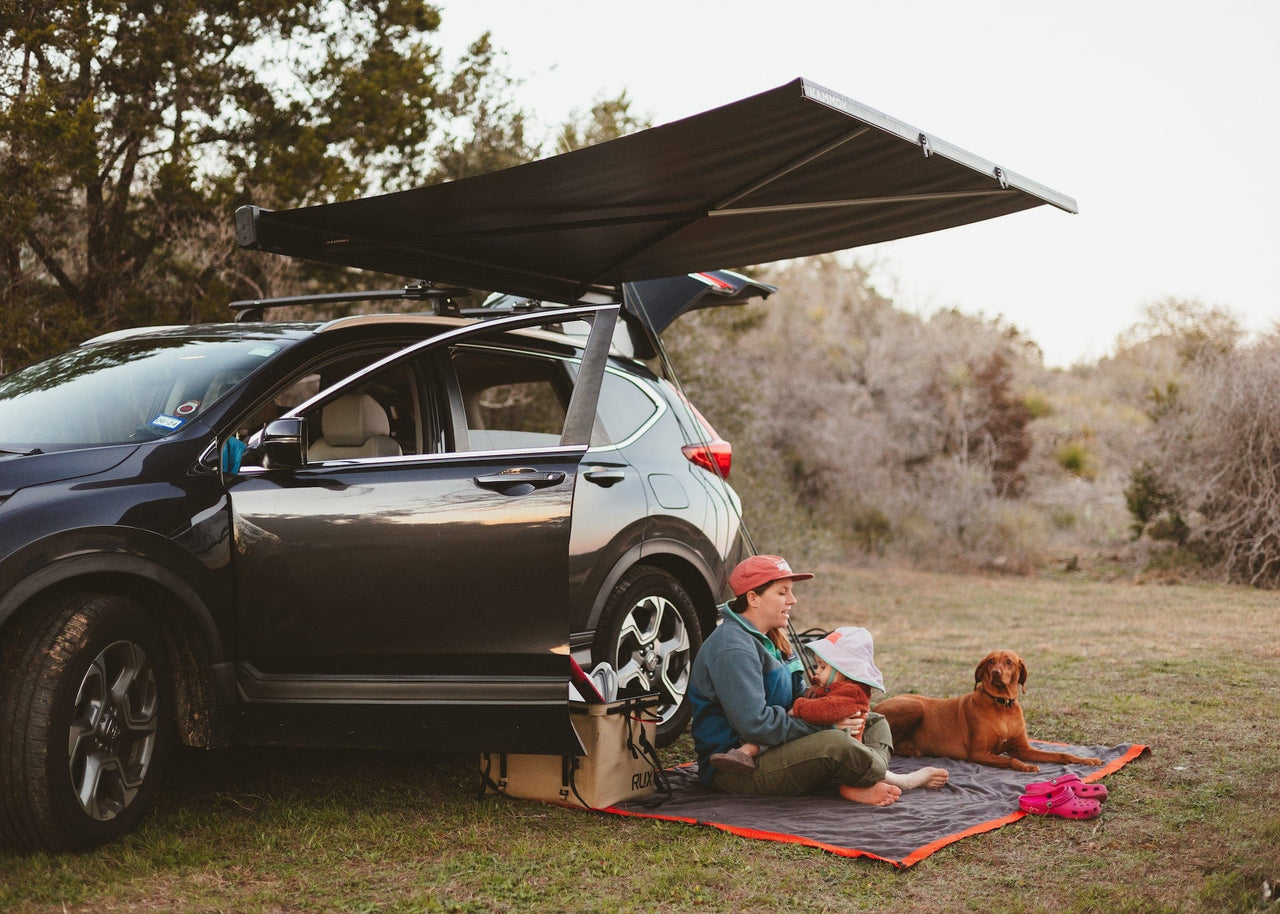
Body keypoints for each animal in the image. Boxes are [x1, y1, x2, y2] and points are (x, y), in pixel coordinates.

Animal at [875, 647, 1105, 768]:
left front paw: (1087, 759)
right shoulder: (978, 753)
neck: (1002, 706)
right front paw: (1026, 766)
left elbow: (1061, 755)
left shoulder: (1023, 748)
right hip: (914, 705)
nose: (995, 673)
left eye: (1009, 662)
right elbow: (1011, 759)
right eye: (990, 661)